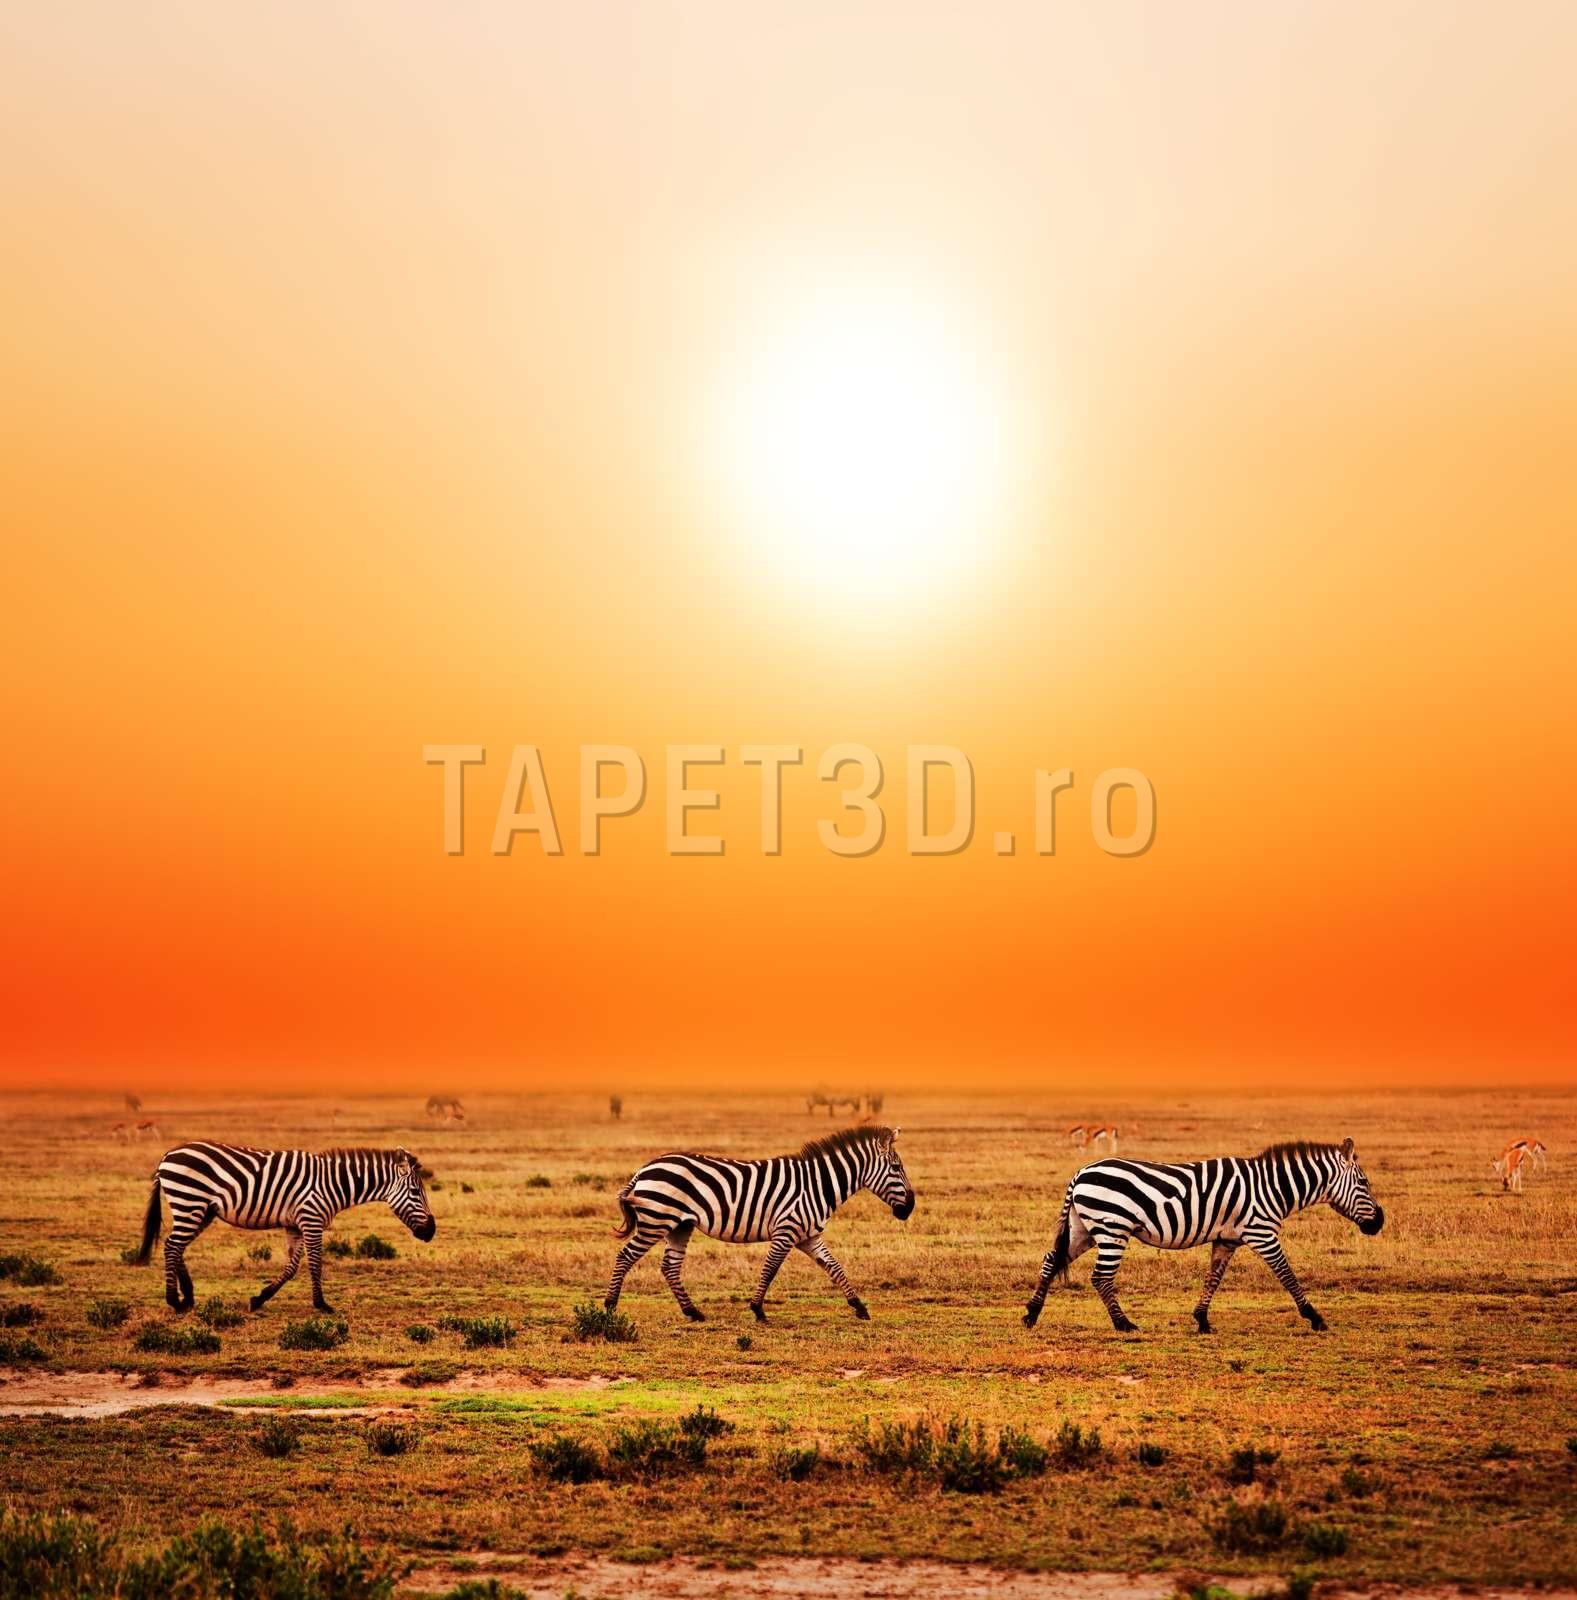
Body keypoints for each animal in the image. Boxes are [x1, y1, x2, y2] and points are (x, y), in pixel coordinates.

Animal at [133, 1143, 436, 1313]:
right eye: (415, 1191)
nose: (431, 1231)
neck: (333, 1184)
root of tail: (167, 1155)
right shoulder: (312, 1220)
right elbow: (315, 1264)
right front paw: (322, 1305)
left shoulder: (295, 1225)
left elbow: (291, 1267)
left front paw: (259, 1299)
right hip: (189, 1201)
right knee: (172, 1246)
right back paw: (175, 1300)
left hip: (201, 1210)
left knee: (177, 1246)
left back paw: (188, 1297)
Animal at [605, 1124, 915, 1323]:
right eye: (896, 1168)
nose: (910, 1208)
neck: (818, 1185)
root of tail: (645, 1168)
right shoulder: (786, 1230)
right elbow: (770, 1269)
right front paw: (758, 1310)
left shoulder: (809, 1236)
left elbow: (835, 1268)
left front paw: (859, 1307)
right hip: (656, 1220)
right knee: (625, 1256)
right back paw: (609, 1307)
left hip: (680, 1225)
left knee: (669, 1266)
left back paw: (693, 1312)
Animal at [1023, 1138, 1384, 1335]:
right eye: (1364, 1183)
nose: (1379, 1222)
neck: (1273, 1188)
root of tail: (1081, 1172)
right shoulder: (1262, 1232)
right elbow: (1287, 1275)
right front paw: (1315, 1317)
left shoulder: (1227, 1239)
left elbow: (1213, 1277)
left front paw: (1202, 1320)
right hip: (1112, 1227)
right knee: (1101, 1277)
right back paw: (1124, 1324)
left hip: (1084, 1228)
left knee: (1052, 1259)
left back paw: (1031, 1314)